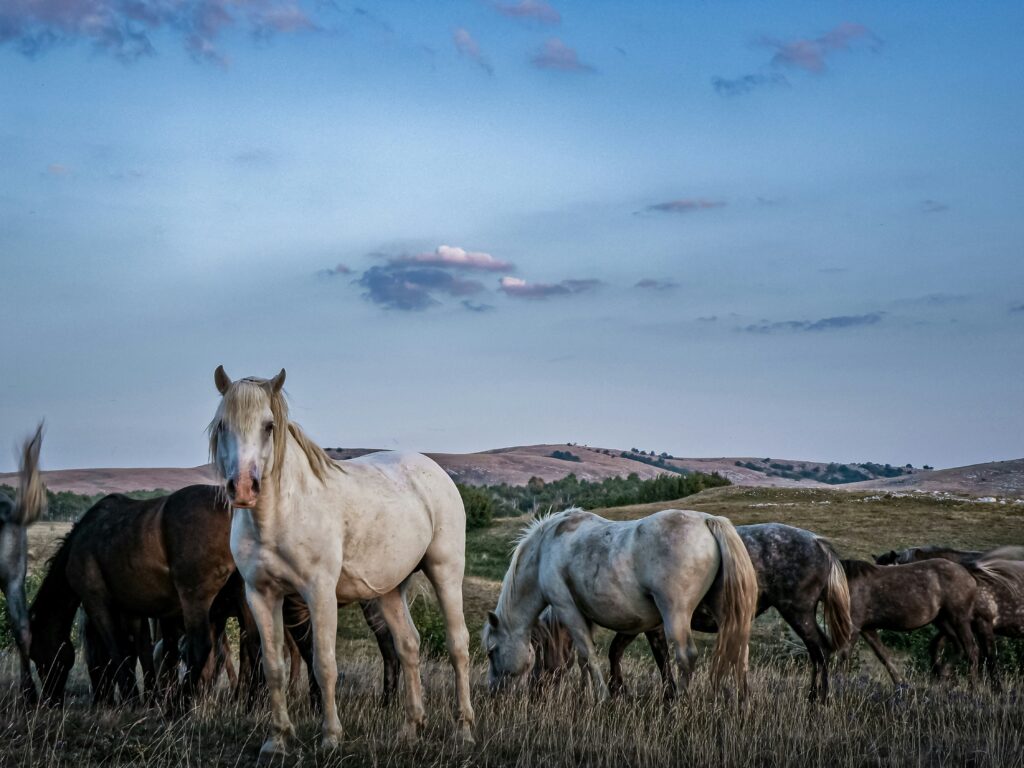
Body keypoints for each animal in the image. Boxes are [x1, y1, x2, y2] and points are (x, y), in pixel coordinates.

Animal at [208, 366, 474, 762]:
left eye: (269, 426)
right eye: (223, 424)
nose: (243, 488)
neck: (280, 516)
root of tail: (432, 469)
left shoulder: (319, 594)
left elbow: (324, 665)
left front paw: (331, 737)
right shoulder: (262, 596)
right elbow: (274, 668)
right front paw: (277, 740)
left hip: (445, 573)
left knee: (458, 646)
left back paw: (464, 731)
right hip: (390, 590)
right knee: (408, 646)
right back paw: (410, 730)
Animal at [483, 507, 758, 699]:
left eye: (491, 652)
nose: (493, 691)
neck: (545, 549)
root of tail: (707, 520)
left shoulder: (567, 609)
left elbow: (588, 654)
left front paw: (602, 696)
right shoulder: (585, 615)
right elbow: (583, 659)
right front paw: (585, 693)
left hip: (675, 614)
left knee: (686, 657)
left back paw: (680, 703)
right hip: (725, 613)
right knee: (740, 652)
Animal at [600, 523, 852, 702]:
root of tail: (818, 542)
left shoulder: (652, 625)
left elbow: (658, 660)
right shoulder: (638, 624)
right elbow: (617, 651)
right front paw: (618, 690)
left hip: (798, 613)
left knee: (820, 650)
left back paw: (817, 698)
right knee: (819, 651)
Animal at [839, 559, 979, 685]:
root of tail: (970, 577)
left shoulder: (854, 626)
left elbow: (844, 656)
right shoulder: (866, 628)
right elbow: (883, 655)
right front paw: (900, 684)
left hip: (959, 620)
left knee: (971, 651)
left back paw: (972, 688)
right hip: (943, 620)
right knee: (958, 647)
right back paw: (944, 673)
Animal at [875, 546, 1024, 687]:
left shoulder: (983, 623)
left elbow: (990, 658)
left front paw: (996, 690)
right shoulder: (956, 624)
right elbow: (936, 646)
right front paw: (943, 675)